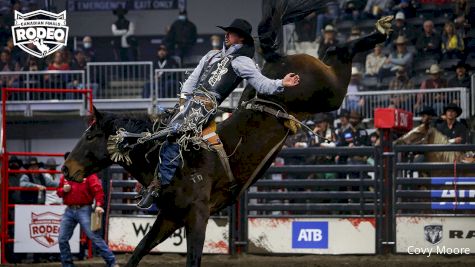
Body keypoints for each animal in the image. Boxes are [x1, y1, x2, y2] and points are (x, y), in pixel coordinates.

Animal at [60, 1, 394, 266]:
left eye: (90, 137)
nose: (65, 168)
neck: (173, 162)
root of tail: (277, 59)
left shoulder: (197, 215)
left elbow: (193, 258)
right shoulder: (169, 217)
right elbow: (139, 249)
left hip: (329, 92)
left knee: (340, 52)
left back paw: (380, 31)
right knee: (336, 51)